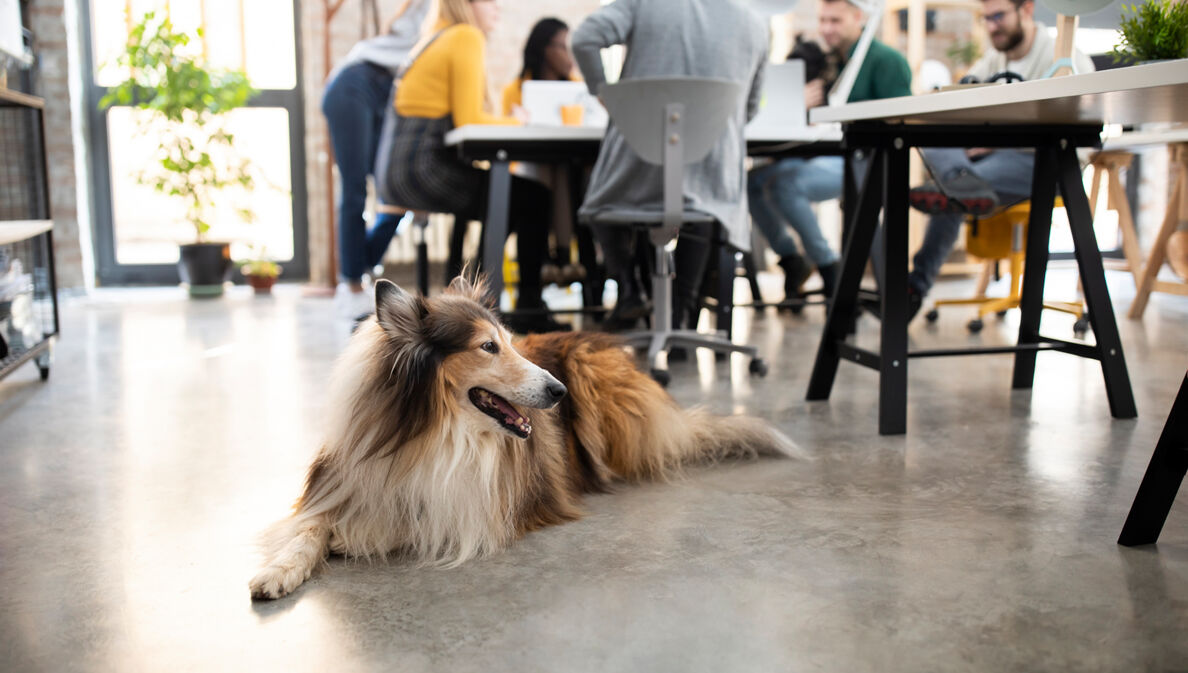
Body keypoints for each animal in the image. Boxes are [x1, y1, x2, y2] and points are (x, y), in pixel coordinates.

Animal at [249, 277, 793, 599]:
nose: (558, 392)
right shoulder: (341, 483)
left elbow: (404, 519)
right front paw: (279, 571)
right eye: (488, 347)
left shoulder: (473, 505)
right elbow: (308, 530)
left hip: (594, 376)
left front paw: (355, 535)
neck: (434, 435)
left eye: (510, 342)